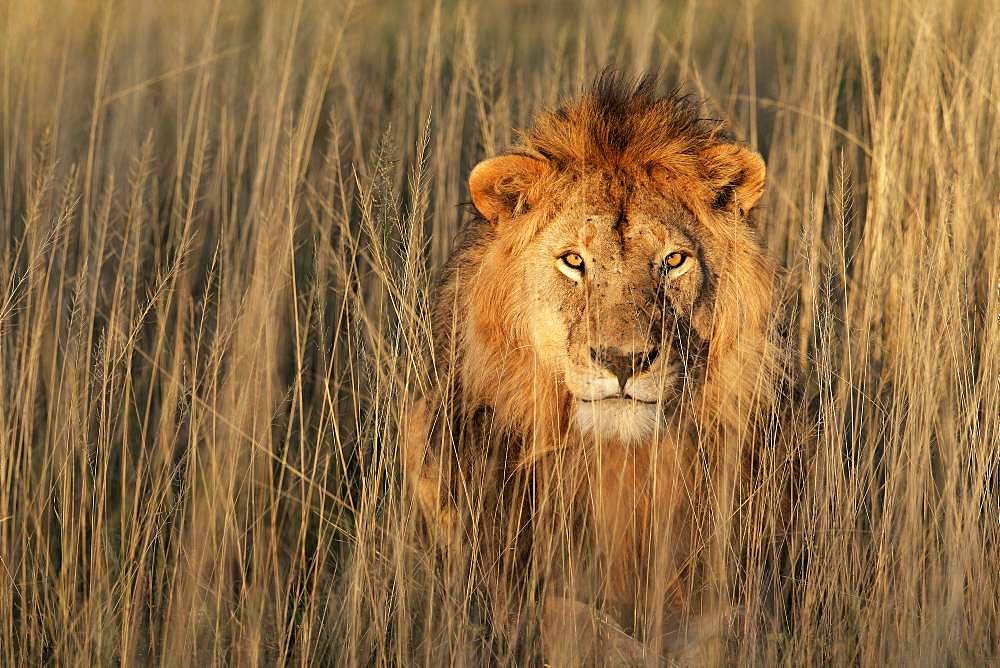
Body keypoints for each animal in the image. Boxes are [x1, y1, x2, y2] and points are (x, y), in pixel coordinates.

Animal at [402, 74, 792, 664]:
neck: (617, 462)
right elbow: (570, 617)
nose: (622, 360)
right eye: (573, 261)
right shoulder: (484, 596)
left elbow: (731, 624)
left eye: (673, 261)